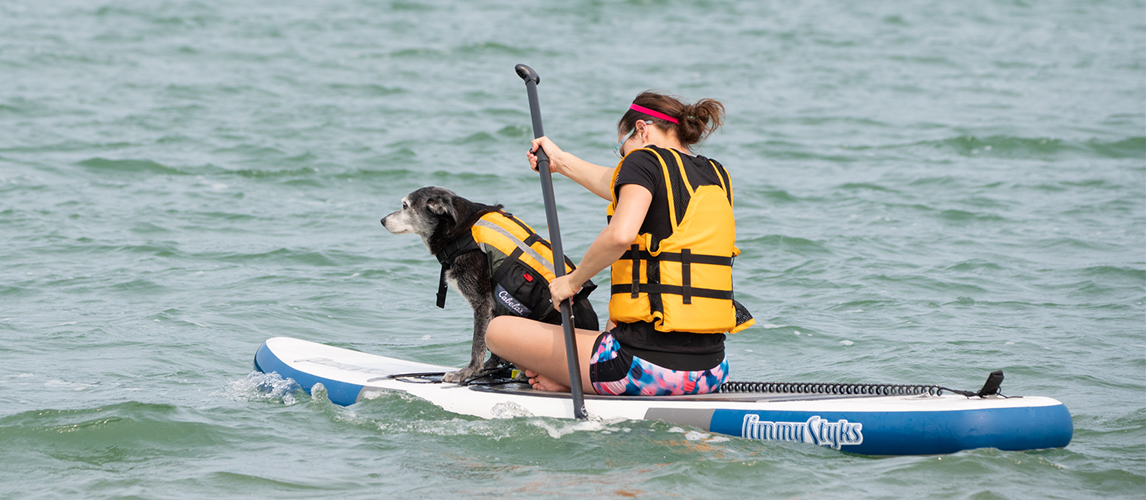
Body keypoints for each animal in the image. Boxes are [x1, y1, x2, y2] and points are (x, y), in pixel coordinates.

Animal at [385, 188, 600, 383]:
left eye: (405, 206)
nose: (382, 220)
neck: (461, 233)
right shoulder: (495, 306)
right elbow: (491, 342)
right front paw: (488, 368)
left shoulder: (482, 302)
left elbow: (478, 344)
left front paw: (466, 372)